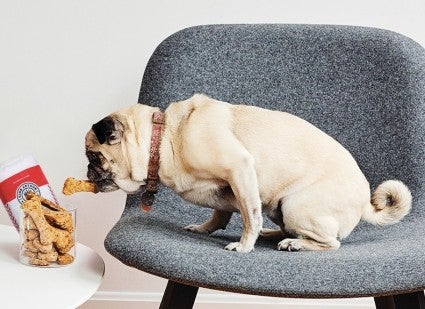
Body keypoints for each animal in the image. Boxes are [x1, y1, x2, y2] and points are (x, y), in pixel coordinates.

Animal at [85, 92, 410, 251]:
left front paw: (243, 246)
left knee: (331, 243)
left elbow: (249, 217)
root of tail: (365, 201)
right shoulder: (227, 188)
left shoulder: (239, 169)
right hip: (281, 208)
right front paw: (205, 228)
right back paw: (274, 234)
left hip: (296, 206)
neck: (164, 137)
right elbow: (222, 215)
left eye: (94, 156)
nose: (88, 171)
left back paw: (294, 243)